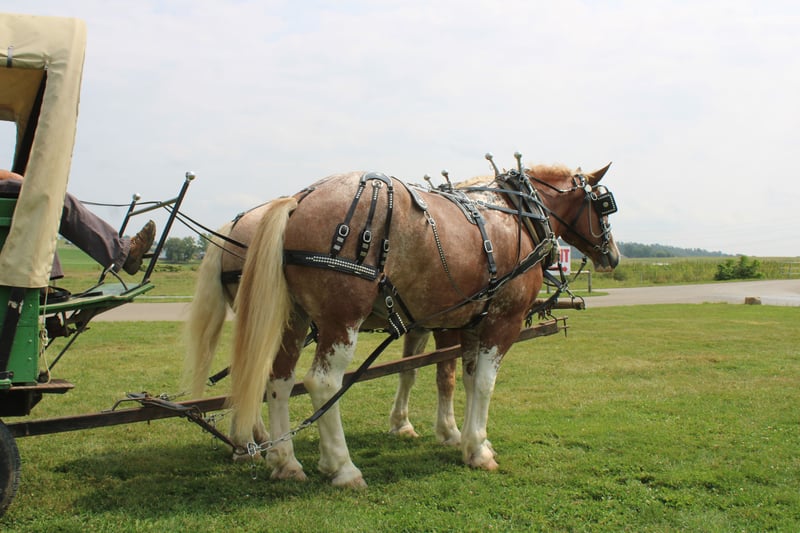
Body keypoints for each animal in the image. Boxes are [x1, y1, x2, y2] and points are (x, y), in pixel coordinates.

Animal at [184, 159, 619, 487]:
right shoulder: (500, 321)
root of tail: (296, 201)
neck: (517, 216)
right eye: (605, 205)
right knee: (321, 383)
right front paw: (475, 447)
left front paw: (455, 435)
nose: (612, 255)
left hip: (293, 318)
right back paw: (340, 467)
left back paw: (284, 460)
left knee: (276, 379)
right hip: (341, 319)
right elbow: (479, 382)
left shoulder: (460, 323)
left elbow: (448, 376)